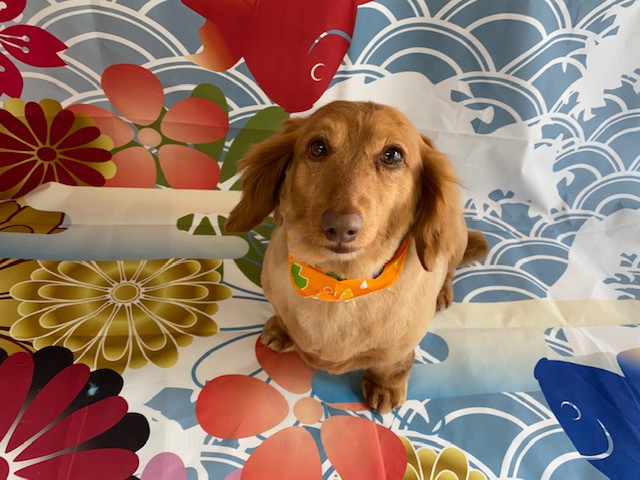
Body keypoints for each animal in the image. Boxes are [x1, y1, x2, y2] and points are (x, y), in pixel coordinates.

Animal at [225, 101, 488, 412]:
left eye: (393, 155)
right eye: (317, 147)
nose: (340, 227)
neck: (339, 283)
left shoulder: (401, 345)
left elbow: (392, 365)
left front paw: (385, 386)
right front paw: (282, 329)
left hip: (455, 237)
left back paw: (443, 293)